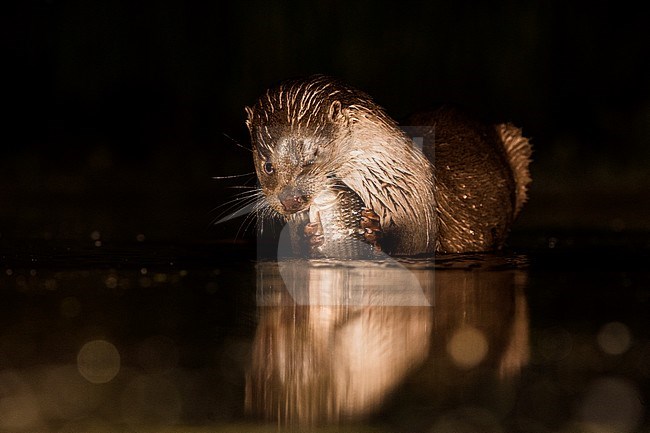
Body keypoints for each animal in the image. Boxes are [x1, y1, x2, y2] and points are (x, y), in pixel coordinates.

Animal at [246, 76, 528, 255]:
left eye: (312, 155)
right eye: (268, 166)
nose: (290, 200)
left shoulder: (419, 209)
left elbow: (417, 244)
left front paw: (374, 233)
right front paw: (308, 237)